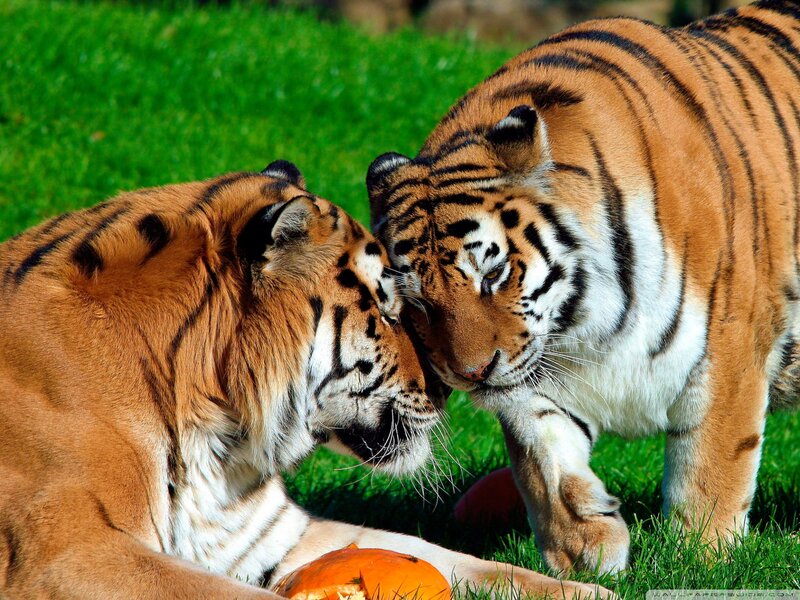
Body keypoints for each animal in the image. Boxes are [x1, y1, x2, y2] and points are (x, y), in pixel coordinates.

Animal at [0, 160, 610, 599]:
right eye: (385, 308)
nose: (447, 389)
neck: (215, 430)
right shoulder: (67, 553)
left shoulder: (270, 535)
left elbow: (444, 555)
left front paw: (591, 590)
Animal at [366, 0, 800, 575]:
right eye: (415, 300)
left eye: (492, 275)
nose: (470, 374)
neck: (584, 322)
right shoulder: (531, 374)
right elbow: (542, 458)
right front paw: (583, 549)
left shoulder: (729, 347)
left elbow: (710, 466)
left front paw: (701, 559)